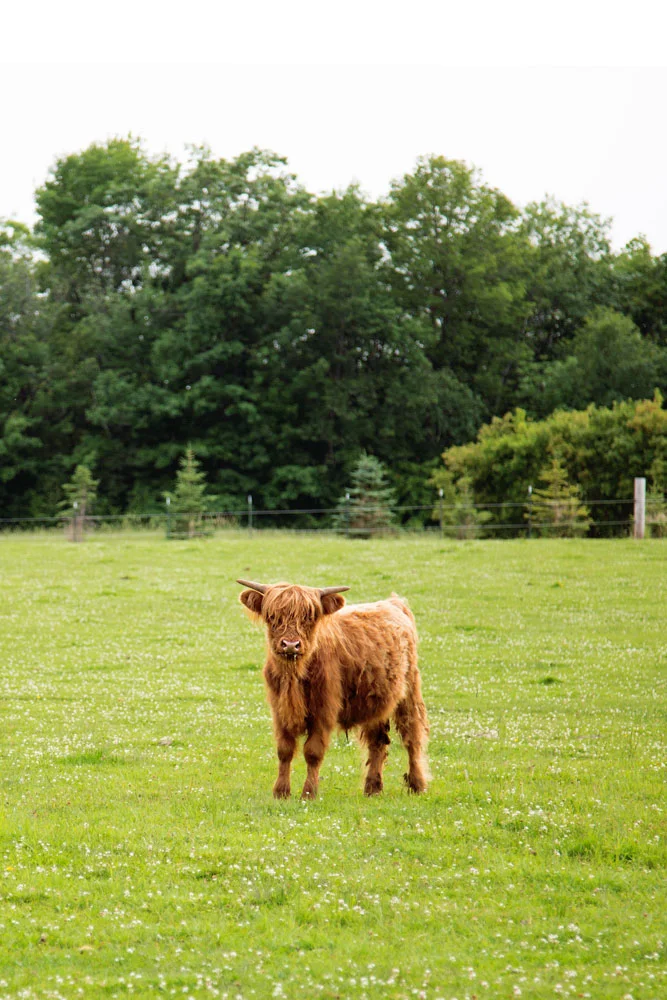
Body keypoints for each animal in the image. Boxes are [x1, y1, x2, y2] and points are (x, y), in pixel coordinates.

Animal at [236, 579, 430, 799]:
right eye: (272, 616)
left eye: (309, 617)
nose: (291, 645)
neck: (295, 675)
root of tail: (394, 603)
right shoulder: (279, 710)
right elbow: (284, 750)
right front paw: (281, 792)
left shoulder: (323, 709)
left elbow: (313, 751)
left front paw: (308, 793)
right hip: (377, 702)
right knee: (377, 742)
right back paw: (372, 788)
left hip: (410, 692)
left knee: (412, 736)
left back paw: (417, 784)